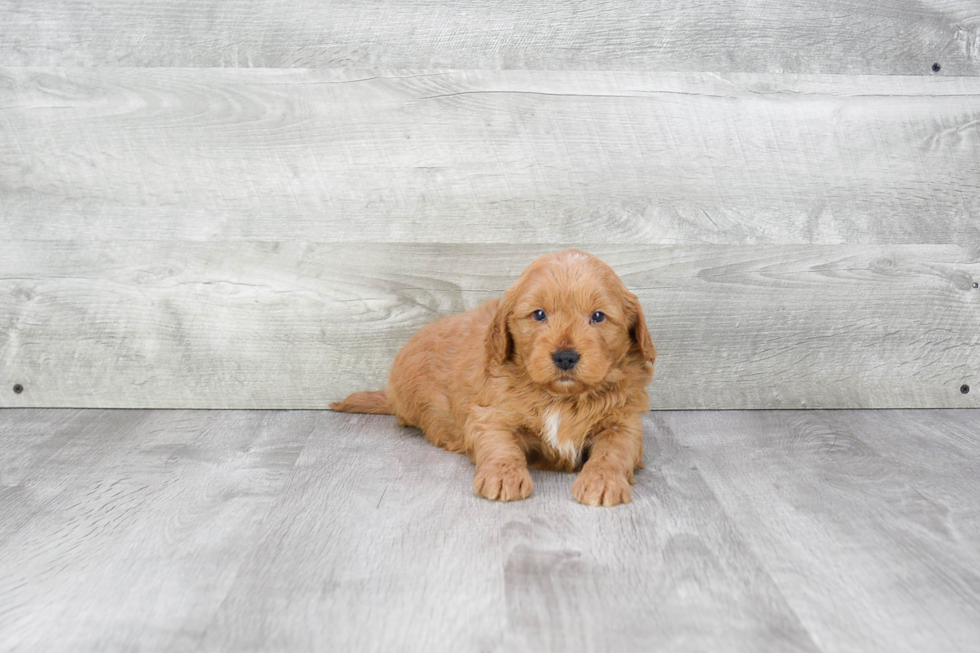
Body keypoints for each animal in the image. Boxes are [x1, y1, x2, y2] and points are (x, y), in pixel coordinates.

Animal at [332, 247, 660, 506]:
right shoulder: (489, 414)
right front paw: (503, 477)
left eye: (598, 316)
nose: (565, 356)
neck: (561, 398)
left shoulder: (625, 423)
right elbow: (500, 445)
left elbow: (612, 452)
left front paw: (602, 481)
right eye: (539, 314)